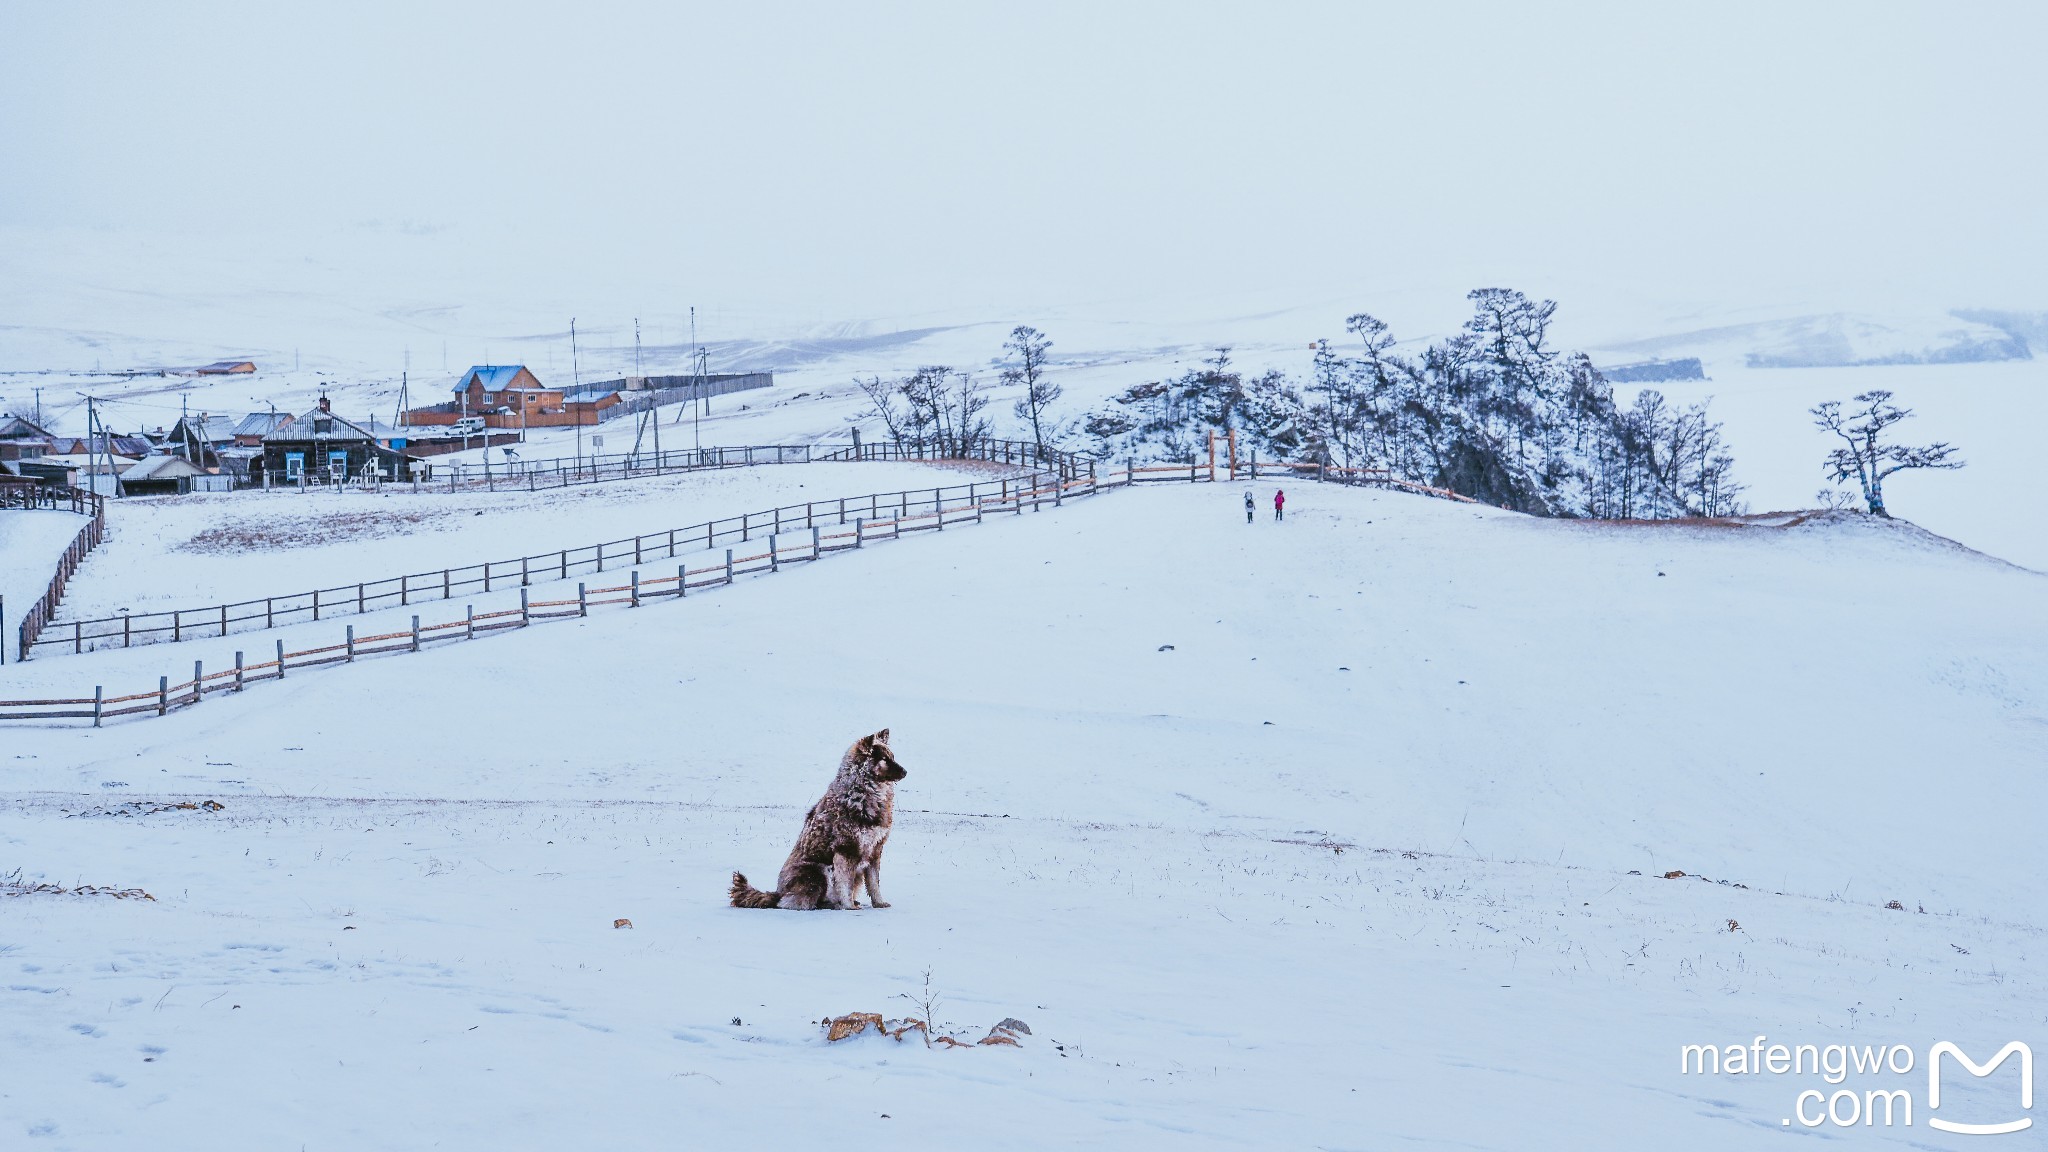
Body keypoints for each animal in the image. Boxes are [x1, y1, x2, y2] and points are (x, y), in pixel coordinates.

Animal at [729, 725, 905, 906]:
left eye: (892, 757)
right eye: (884, 759)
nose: (905, 772)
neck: (862, 793)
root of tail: (778, 893)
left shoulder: (875, 850)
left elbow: (873, 883)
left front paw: (879, 903)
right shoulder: (845, 851)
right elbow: (845, 885)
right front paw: (848, 906)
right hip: (818, 872)